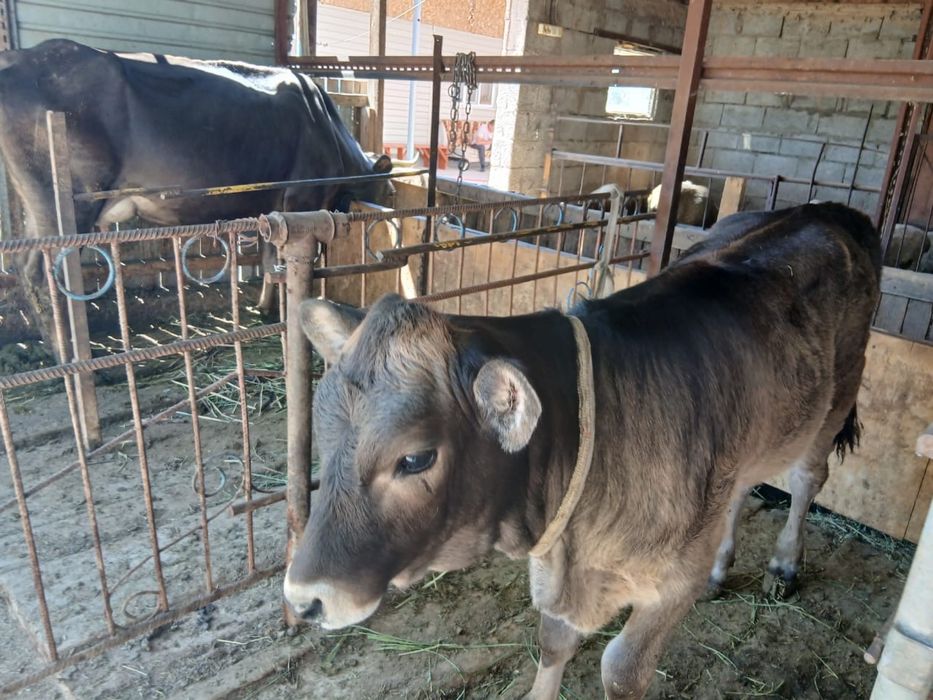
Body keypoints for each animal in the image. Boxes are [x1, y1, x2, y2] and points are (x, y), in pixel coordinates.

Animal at [0, 39, 398, 343]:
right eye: (392, 193)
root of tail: (22, 56)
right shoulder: (302, 199)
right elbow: (285, 264)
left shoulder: (272, 206)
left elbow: (269, 260)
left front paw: (265, 309)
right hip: (66, 200)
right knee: (46, 275)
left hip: (37, 203)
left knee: (25, 268)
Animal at [283, 202, 880, 699]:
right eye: (324, 438)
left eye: (414, 459)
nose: (303, 599)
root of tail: (830, 209)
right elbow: (553, 642)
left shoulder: (670, 585)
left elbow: (621, 673)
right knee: (740, 488)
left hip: (837, 396)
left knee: (805, 479)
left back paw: (784, 566)